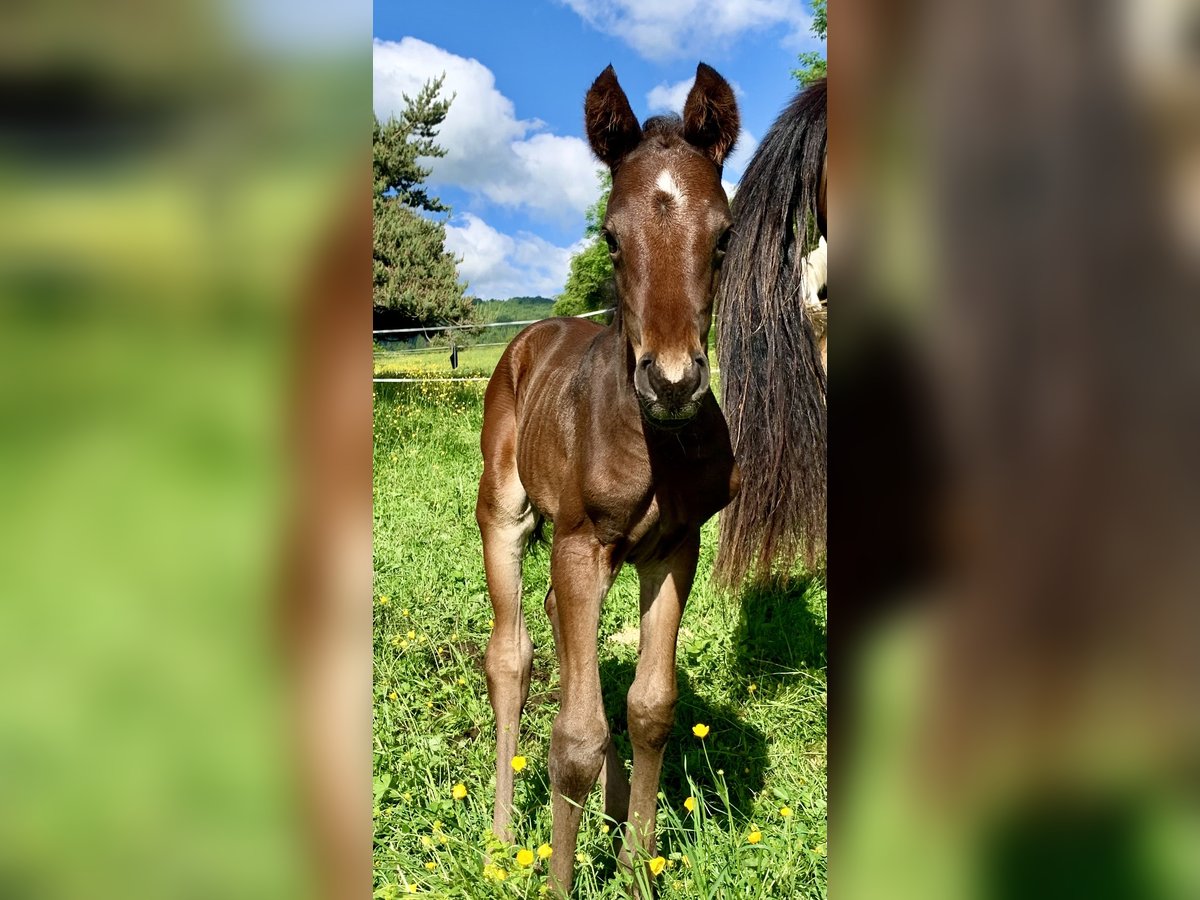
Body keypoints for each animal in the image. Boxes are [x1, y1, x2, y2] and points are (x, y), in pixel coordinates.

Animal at [475, 61, 739, 897]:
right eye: (610, 238)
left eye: (723, 236)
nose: (673, 380)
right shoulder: (583, 541)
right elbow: (575, 737)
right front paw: (564, 879)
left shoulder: (674, 548)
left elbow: (649, 708)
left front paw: (635, 868)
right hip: (508, 516)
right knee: (513, 656)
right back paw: (501, 836)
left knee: (563, 631)